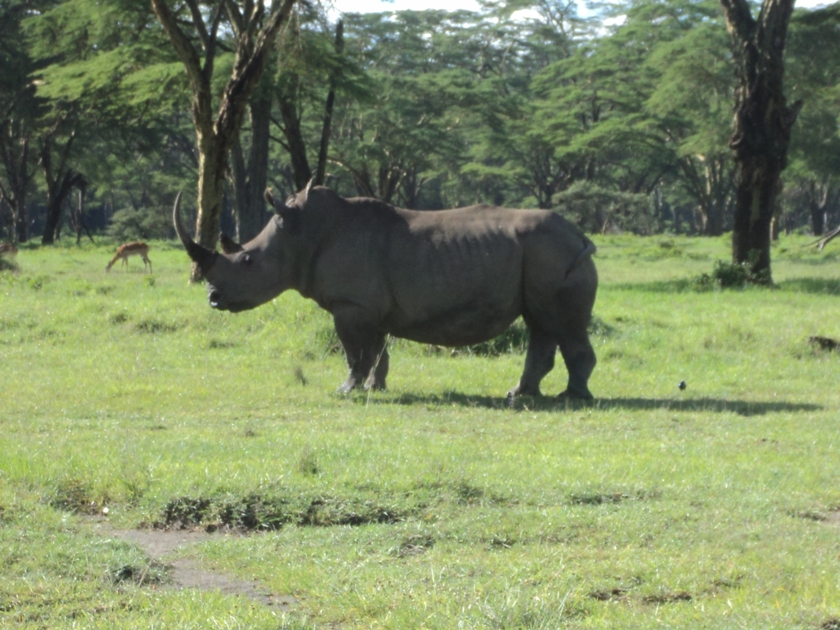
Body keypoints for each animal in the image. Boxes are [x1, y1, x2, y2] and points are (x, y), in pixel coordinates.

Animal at [174, 182, 598, 400]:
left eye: (247, 261)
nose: (212, 298)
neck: (301, 234)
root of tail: (581, 236)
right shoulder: (369, 306)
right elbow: (376, 350)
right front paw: (374, 388)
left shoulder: (351, 303)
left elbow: (353, 350)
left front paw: (345, 391)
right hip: (543, 256)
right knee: (540, 324)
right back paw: (520, 396)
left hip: (553, 253)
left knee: (559, 324)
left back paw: (571, 398)